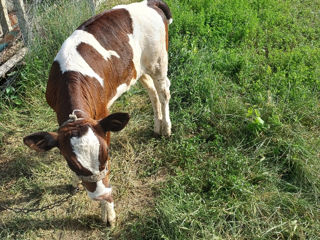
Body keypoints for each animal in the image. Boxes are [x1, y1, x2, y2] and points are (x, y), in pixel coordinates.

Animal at [22, 0, 172, 226]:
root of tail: (148, 3)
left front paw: (108, 212)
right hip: (137, 69)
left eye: (107, 155)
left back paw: (166, 128)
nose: (102, 196)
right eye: (72, 164)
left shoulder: (103, 116)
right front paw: (75, 181)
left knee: (163, 92)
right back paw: (157, 126)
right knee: (153, 93)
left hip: (158, 61)